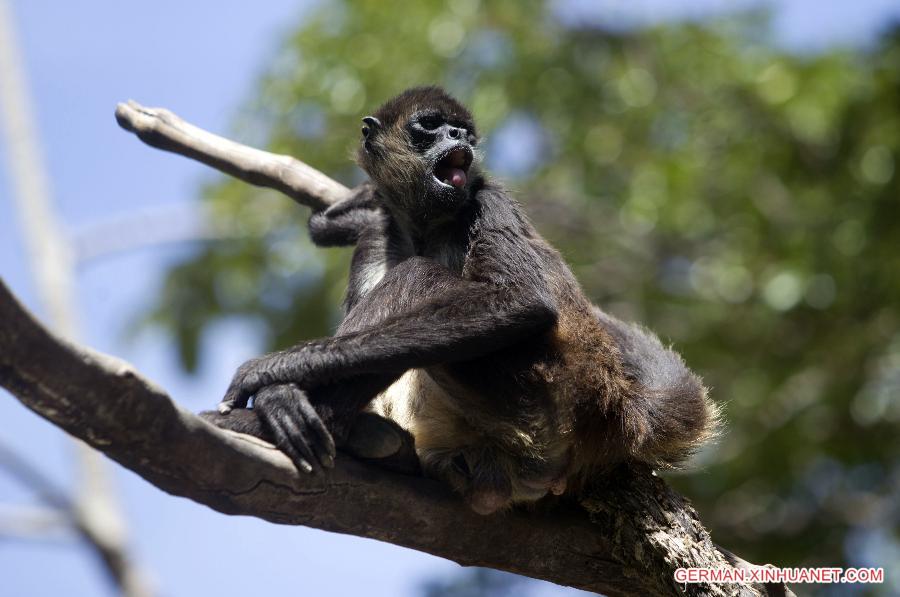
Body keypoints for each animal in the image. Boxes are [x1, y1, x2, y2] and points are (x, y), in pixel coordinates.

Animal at [202, 86, 716, 516]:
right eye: (431, 125)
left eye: (463, 131)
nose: (455, 137)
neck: (427, 229)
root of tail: (612, 406)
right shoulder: (378, 235)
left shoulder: (487, 199)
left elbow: (524, 304)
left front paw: (276, 373)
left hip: (538, 401)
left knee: (417, 276)